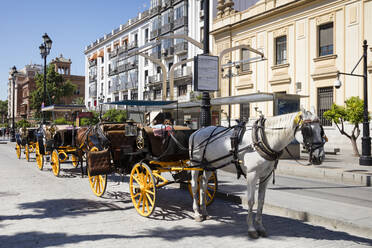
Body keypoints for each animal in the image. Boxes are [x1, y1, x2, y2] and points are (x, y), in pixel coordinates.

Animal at [189, 111, 322, 238]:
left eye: (321, 130)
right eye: (307, 130)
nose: (319, 157)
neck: (262, 139)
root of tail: (197, 131)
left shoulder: (266, 176)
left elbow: (261, 201)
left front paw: (260, 227)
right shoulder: (252, 175)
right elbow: (251, 201)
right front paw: (252, 229)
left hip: (209, 166)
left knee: (204, 186)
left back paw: (204, 212)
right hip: (195, 164)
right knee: (195, 186)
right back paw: (197, 213)